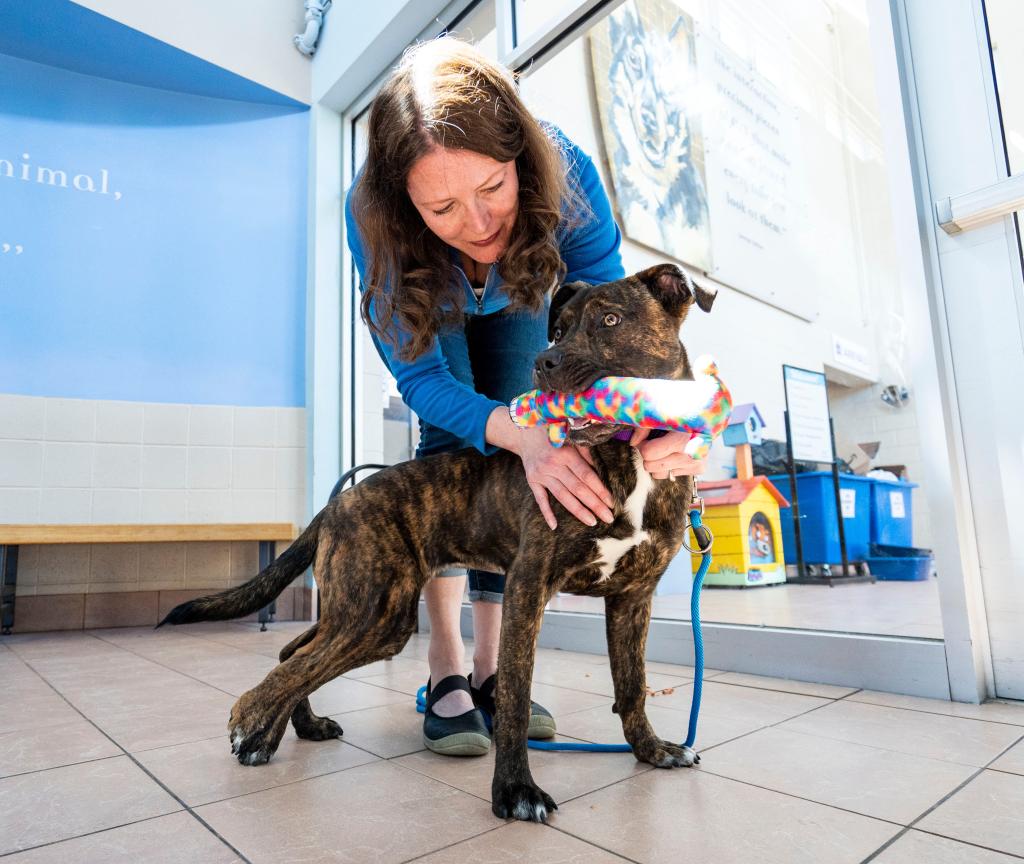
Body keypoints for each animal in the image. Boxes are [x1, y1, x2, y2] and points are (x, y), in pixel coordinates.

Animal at [161, 264, 720, 823]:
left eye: (610, 320)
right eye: (557, 330)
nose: (543, 362)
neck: (630, 461)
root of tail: (339, 503)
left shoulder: (632, 600)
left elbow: (633, 686)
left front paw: (650, 750)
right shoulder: (528, 587)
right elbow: (515, 698)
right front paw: (515, 790)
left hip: (359, 609)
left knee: (294, 651)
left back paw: (292, 728)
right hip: (376, 615)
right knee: (297, 662)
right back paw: (250, 724)